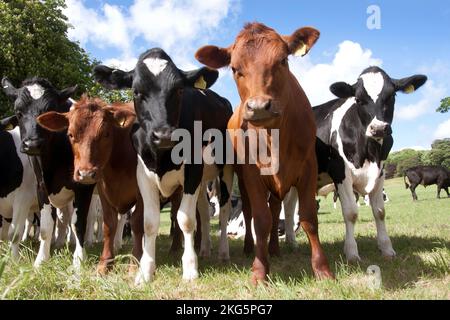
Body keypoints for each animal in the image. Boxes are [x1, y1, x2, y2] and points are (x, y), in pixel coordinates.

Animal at [37, 96, 145, 274]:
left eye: (106, 133)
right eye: (70, 134)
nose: (86, 173)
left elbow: (137, 223)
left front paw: (135, 263)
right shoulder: (103, 190)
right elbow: (109, 224)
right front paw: (105, 264)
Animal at [95, 47, 236, 282]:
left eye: (179, 91)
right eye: (136, 92)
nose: (163, 135)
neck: (162, 157)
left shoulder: (192, 171)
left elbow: (185, 220)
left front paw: (190, 269)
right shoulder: (144, 175)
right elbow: (149, 222)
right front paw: (145, 271)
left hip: (226, 168)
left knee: (224, 210)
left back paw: (223, 252)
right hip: (203, 180)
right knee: (205, 211)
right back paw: (205, 249)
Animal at [197, 22, 334, 282]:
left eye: (283, 60)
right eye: (234, 68)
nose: (259, 107)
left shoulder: (308, 167)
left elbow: (309, 218)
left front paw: (322, 268)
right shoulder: (251, 174)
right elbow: (260, 219)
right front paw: (260, 271)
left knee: (276, 208)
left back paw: (274, 248)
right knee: (252, 212)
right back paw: (251, 248)